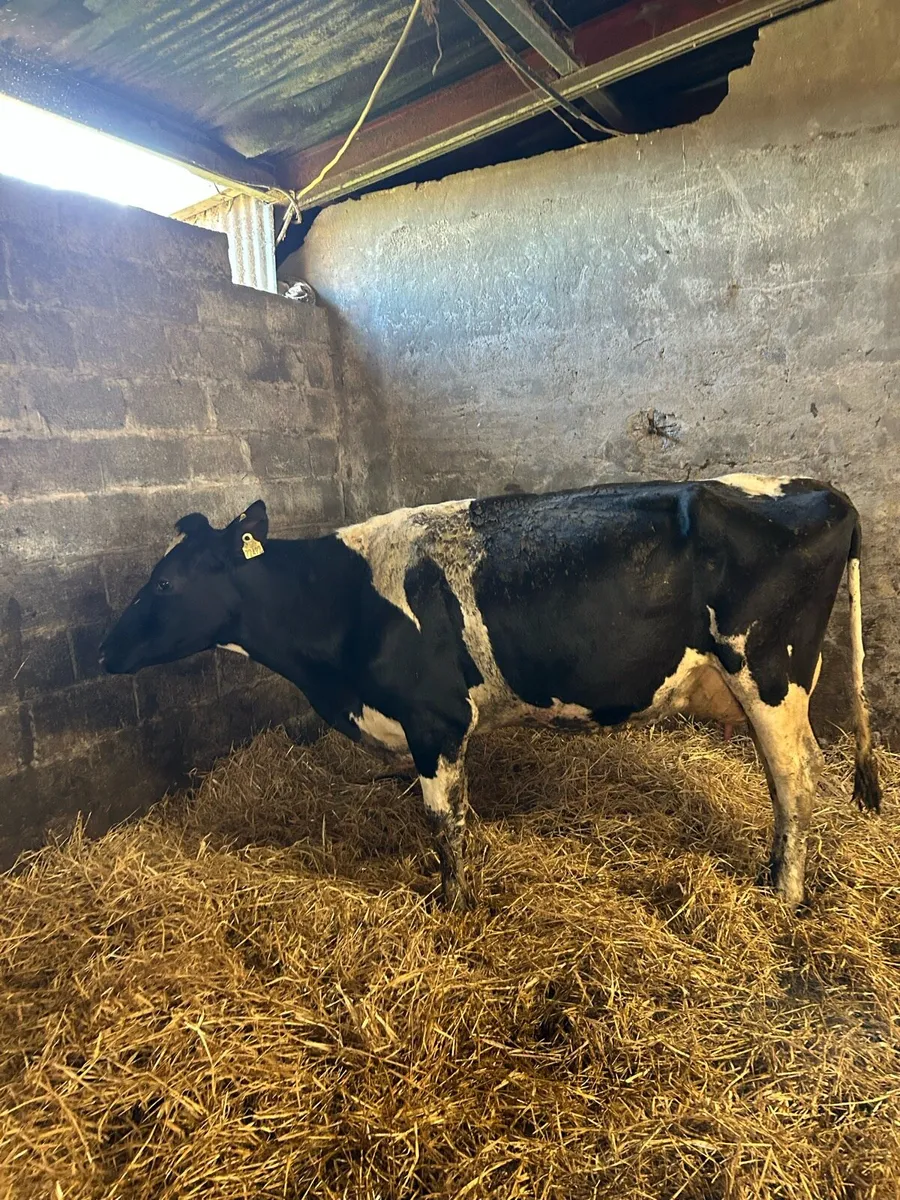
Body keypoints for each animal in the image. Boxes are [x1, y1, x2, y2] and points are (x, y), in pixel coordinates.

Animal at [99, 475, 882, 913]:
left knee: (796, 778)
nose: (104, 651)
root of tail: (814, 487)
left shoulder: (433, 719)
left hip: (769, 674)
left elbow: (443, 822)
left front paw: (452, 904)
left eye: (165, 583)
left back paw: (784, 894)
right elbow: (464, 812)